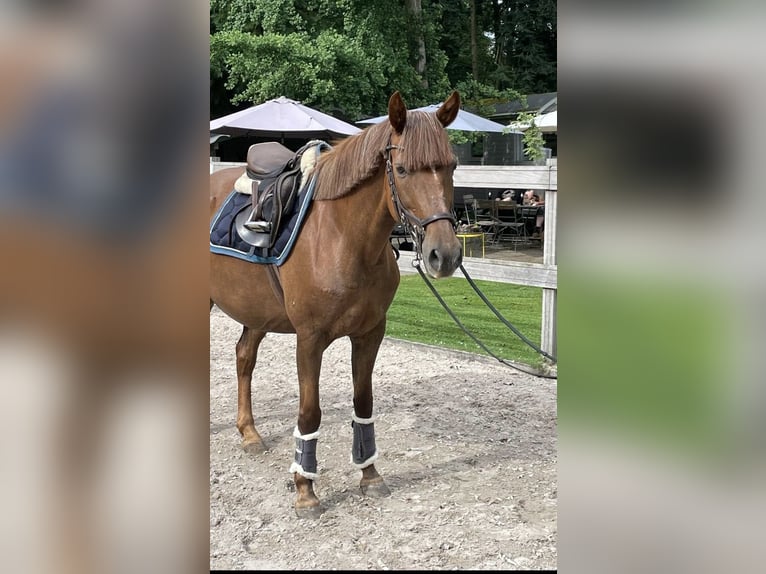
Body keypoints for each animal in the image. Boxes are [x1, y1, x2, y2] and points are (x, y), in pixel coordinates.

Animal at [208, 92, 462, 520]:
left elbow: (363, 401)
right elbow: (310, 411)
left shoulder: (370, 333)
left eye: (452, 165)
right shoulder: (310, 339)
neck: (344, 238)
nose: (443, 255)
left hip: (256, 310)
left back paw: (249, 433)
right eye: (402, 169)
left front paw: (369, 474)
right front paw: (305, 490)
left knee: (244, 357)